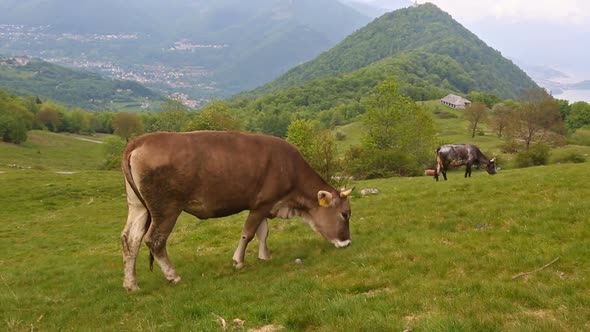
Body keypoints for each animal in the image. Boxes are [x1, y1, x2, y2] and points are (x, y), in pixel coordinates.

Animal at [118, 130, 354, 290]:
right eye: (344, 214)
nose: (347, 243)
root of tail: (140, 140)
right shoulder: (262, 203)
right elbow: (248, 233)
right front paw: (238, 261)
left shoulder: (263, 204)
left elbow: (263, 232)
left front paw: (264, 256)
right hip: (166, 207)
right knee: (154, 239)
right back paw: (172, 275)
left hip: (138, 205)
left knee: (131, 238)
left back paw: (131, 284)